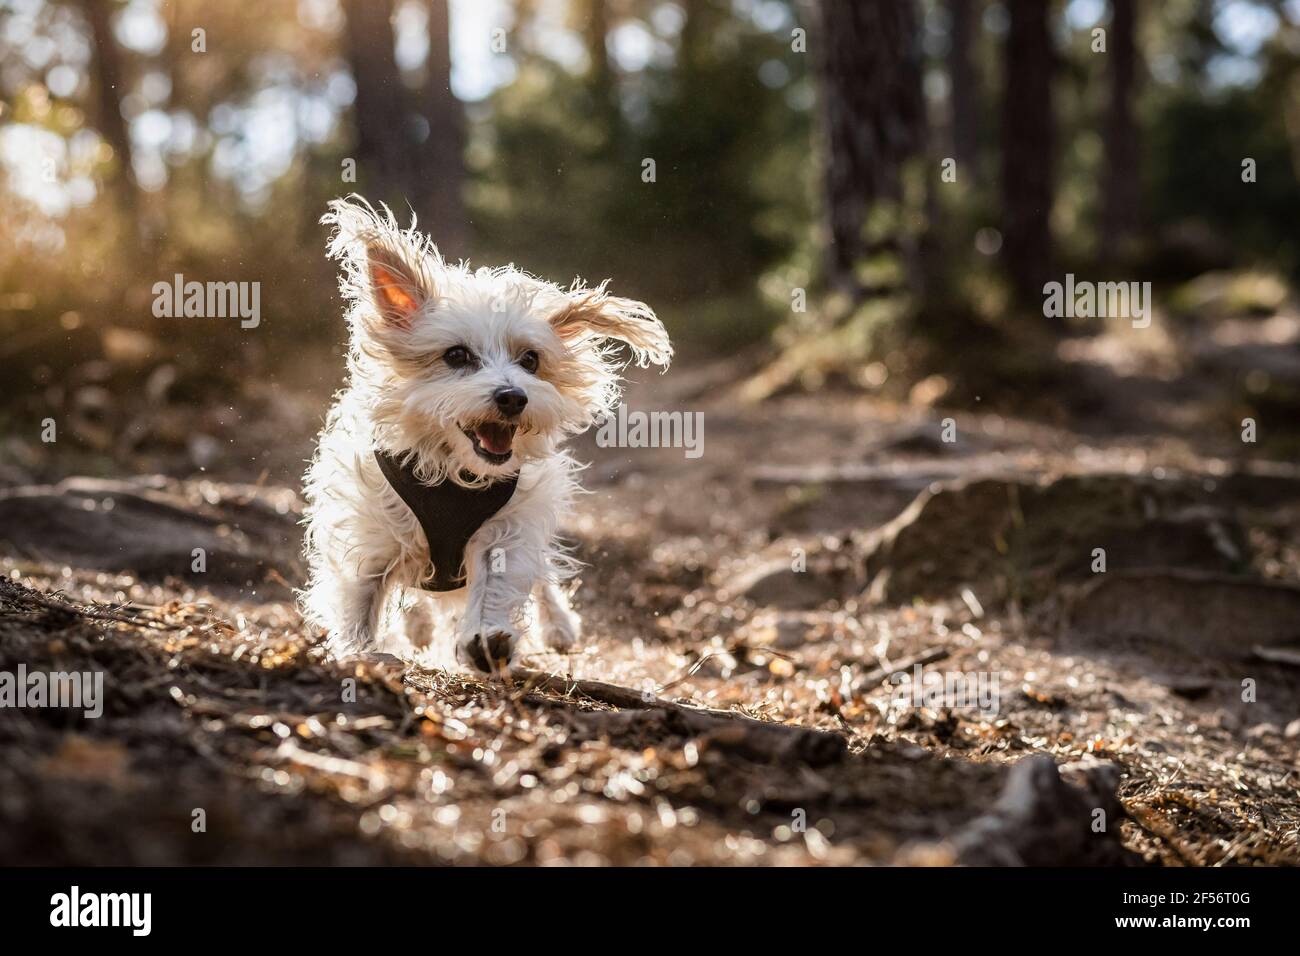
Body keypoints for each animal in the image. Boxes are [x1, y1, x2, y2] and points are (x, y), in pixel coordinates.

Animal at [301, 197, 670, 671]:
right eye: (456, 355)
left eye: (530, 360)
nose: (513, 397)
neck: (451, 471)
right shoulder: (370, 534)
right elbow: (360, 599)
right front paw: (358, 652)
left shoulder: (509, 527)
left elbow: (498, 582)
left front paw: (484, 640)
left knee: (544, 579)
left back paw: (558, 625)